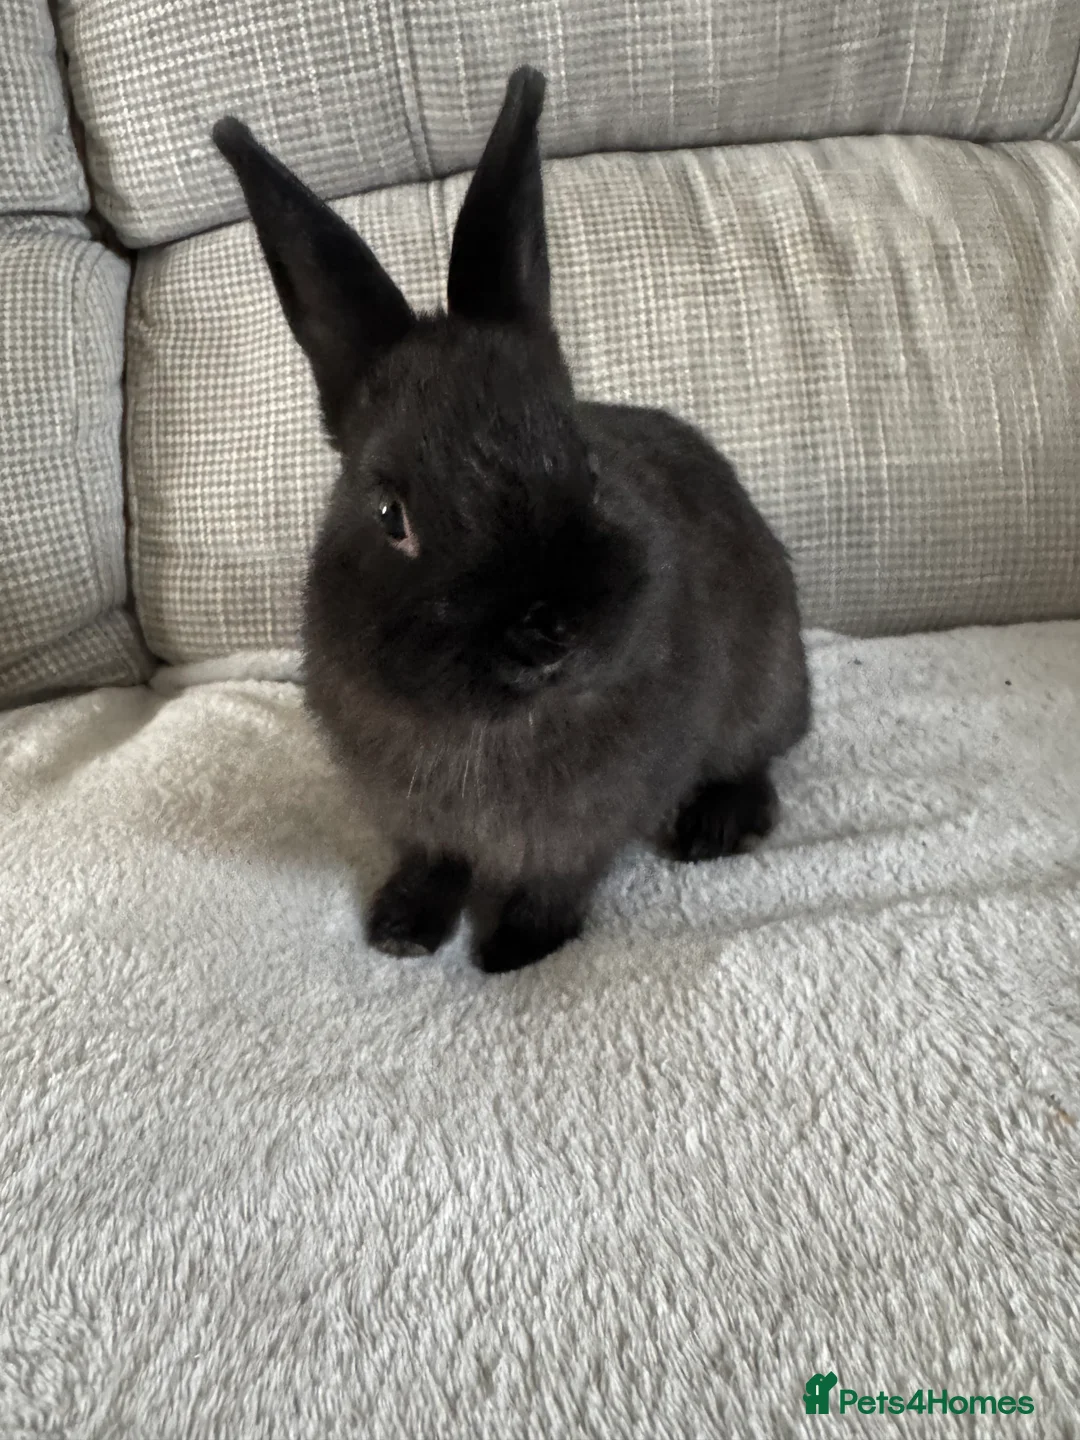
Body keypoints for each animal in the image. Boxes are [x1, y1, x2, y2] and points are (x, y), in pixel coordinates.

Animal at [212, 66, 810, 973]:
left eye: (587, 467)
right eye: (390, 514)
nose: (550, 625)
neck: (495, 728)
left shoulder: (589, 824)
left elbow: (558, 879)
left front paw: (517, 951)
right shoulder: (416, 821)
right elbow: (434, 863)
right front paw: (400, 931)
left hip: (766, 681)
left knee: (761, 757)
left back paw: (715, 826)